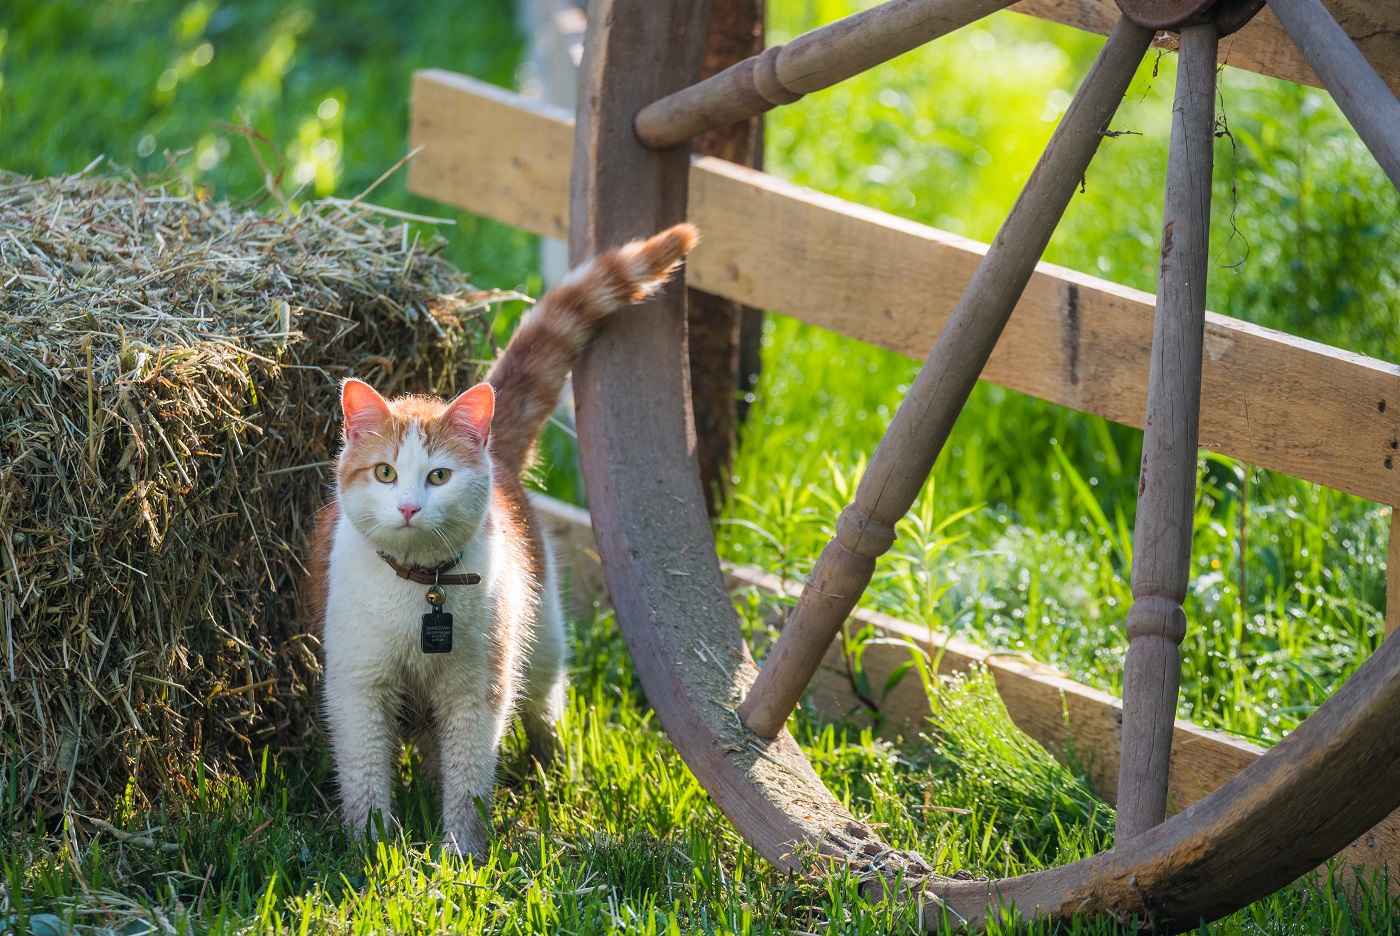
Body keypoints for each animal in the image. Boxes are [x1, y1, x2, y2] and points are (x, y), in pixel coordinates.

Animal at [306, 221, 700, 856]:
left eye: (439, 476)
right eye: (385, 473)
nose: (410, 506)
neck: (422, 589)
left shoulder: (476, 693)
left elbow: (469, 781)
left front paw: (460, 855)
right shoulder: (357, 688)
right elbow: (366, 776)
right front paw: (372, 848)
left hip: (542, 648)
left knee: (542, 712)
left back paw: (552, 777)